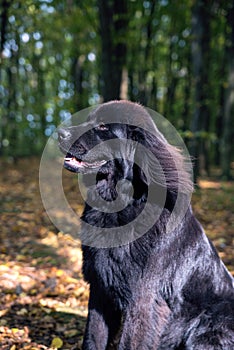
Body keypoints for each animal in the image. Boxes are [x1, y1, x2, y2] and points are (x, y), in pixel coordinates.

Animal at [57, 100, 233, 348]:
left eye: (102, 127)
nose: (59, 133)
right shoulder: (100, 288)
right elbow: (93, 337)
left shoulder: (144, 299)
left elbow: (130, 341)